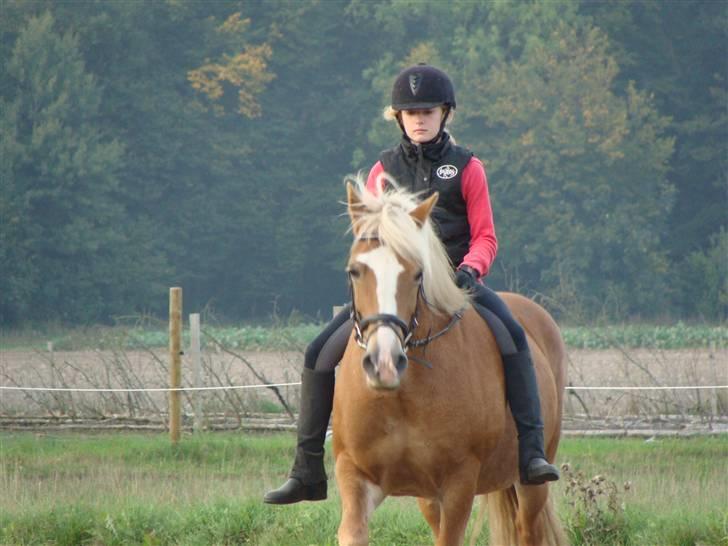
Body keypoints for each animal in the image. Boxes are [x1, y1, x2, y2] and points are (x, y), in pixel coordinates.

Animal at [332, 183, 568, 544]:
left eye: (418, 274)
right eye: (354, 271)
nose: (385, 363)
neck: (401, 398)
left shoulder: (459, 484)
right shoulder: (355, 474)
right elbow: (353, 532)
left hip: (532, 483)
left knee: (530, 529)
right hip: (428, 497)